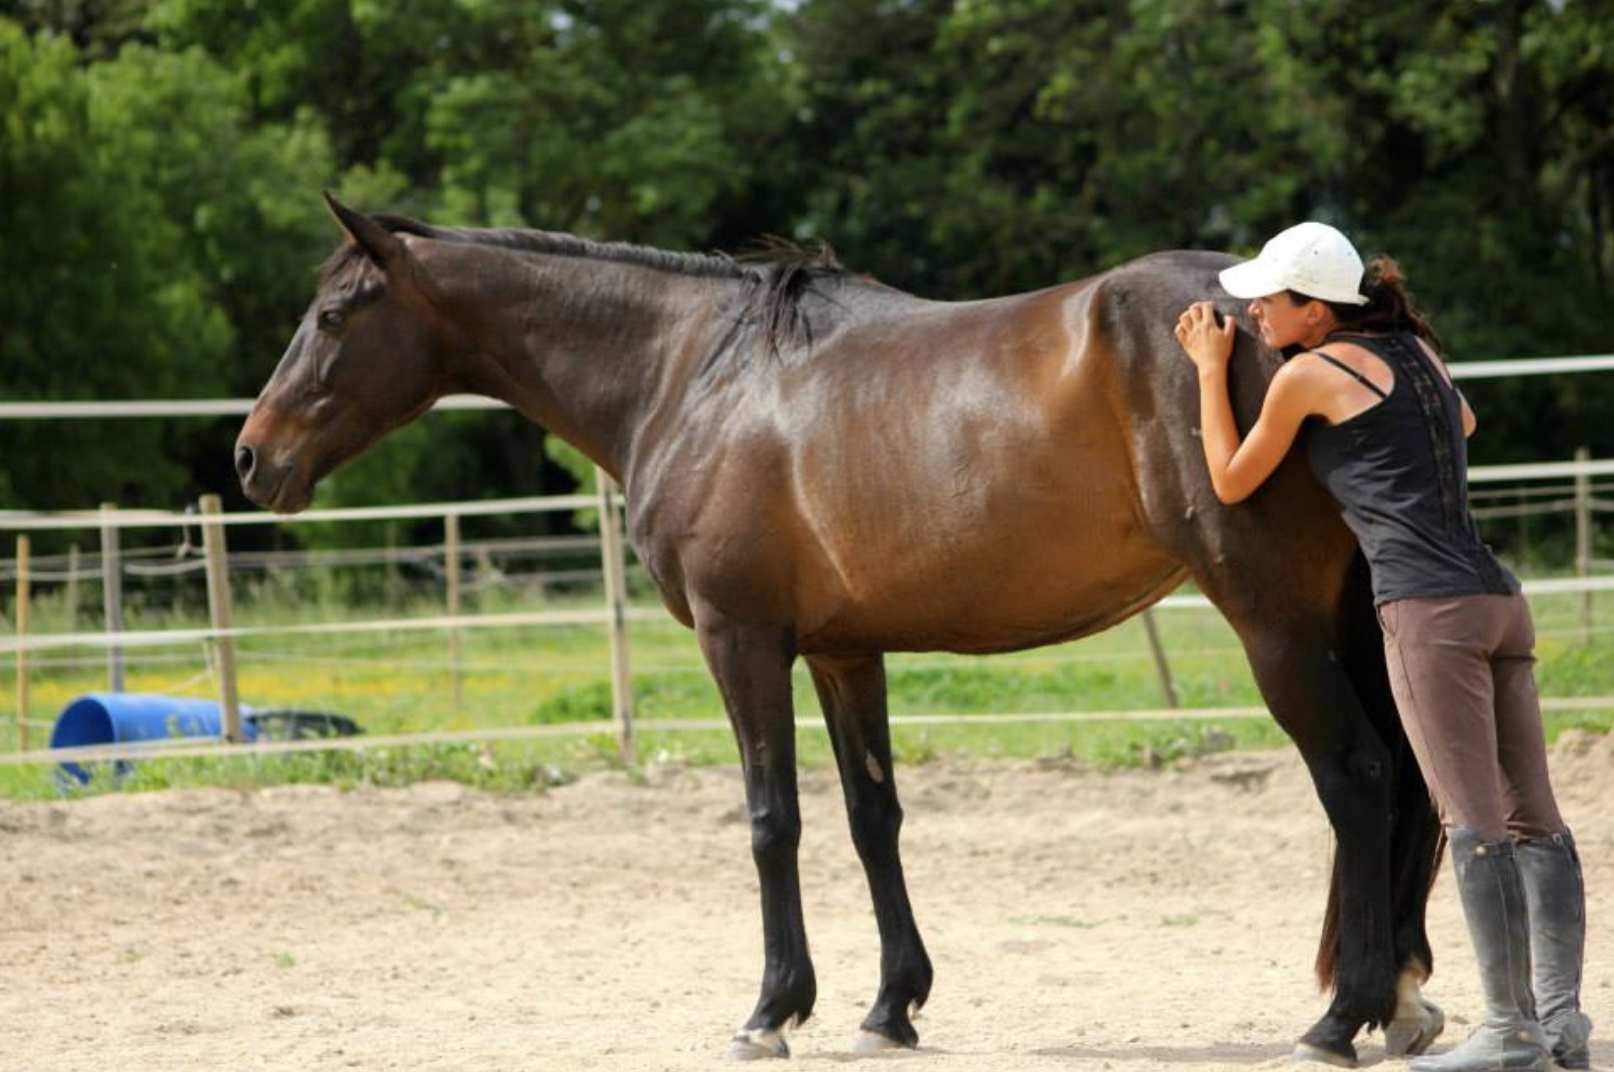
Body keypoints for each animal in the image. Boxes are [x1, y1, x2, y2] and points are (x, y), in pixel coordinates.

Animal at [236, 194, 1446, 1066]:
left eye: (332, 316)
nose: (252, 457)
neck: (695, 372)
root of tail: (1338, 332)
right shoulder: (842, 650)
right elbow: (875, 818)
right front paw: (890, 1005)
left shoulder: (740, 640)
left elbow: (772, 819)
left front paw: (772, 1010)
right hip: (1340, 618)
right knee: (1405, 779)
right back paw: (1401, 1001)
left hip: (1273, 621)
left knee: (1357, 776)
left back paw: (1340, 1018)